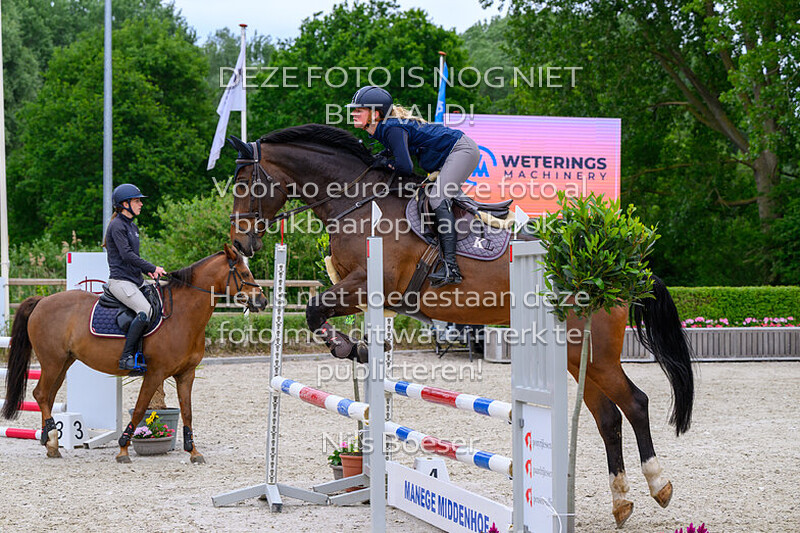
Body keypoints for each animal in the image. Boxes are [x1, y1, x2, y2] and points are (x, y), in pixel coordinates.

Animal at [2, 244, 267, 464]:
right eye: (244, 274)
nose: (262, 301)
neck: (183, 315)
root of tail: (42, 301)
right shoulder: (155, 373)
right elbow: (140, 410)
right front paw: (122, 449)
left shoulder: (186, 374)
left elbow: (188, 412)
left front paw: (193, 451)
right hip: (52, 361)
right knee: (41, 394)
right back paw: (52, 442)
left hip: (63, 362)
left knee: (47, 396)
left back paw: (51, 444)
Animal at [226, 124, 694, 528]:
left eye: (244, 184)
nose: (240, 243)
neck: (356, 200)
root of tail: (613, 270)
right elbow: (319, 314)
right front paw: (359, 349)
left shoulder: (365, 285)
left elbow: (313, 311)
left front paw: (351, 348)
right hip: (579, 354)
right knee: (607, 417)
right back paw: (621, 502)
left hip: (594, 350)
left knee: (635, 403)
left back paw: (660, 486)